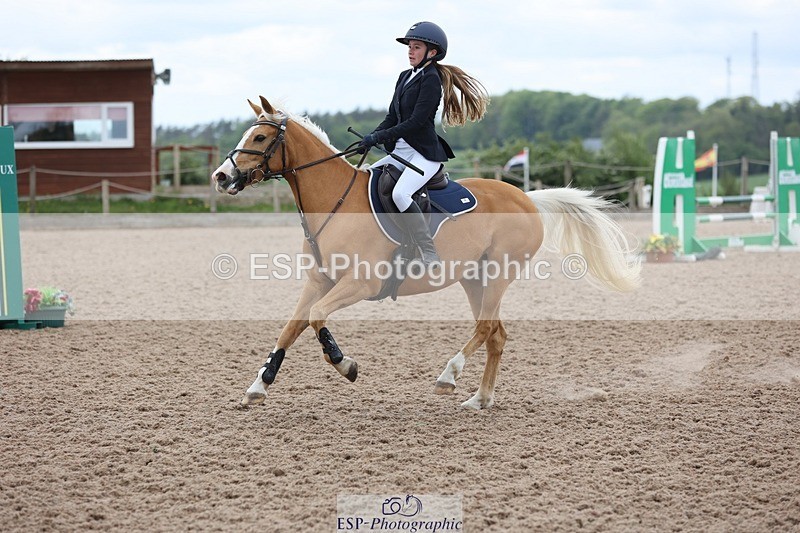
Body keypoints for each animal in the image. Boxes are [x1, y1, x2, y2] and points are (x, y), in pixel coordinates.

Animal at [212, 96, 641, 410]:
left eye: (260, 139)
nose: (221, 176)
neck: (335, 202)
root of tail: (527, 198)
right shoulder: (319, 280)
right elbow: (292, 327)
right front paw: (259, 385)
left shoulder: (360, 284)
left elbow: (317, 319)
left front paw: (346, 365)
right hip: (474, 278)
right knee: (496, 334)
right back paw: (480, 399)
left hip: (499, 272)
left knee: (485, 328)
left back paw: (448, 377)